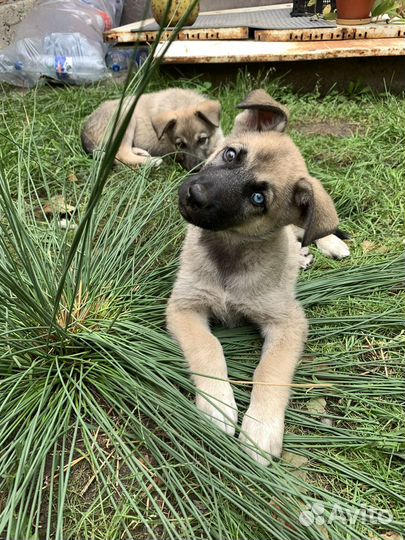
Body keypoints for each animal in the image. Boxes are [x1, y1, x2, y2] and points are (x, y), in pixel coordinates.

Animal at [80, 87, 223, 170]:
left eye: (202, 140)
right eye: (180, 145)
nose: (195, 170)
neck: (182, 104)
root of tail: (85, 130)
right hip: (126, 117)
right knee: (121, 155)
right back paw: (152, 161)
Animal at [166, 90, 340, 466]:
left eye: (258, 198)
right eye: (231, 154)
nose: (195, 196)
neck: (230, 252)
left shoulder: (289, 322)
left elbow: (270, 370)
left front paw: (261, 427)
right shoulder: (184, 306)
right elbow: (208, 347)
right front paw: (218, 403)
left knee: (310, 231)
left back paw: (328, 245)